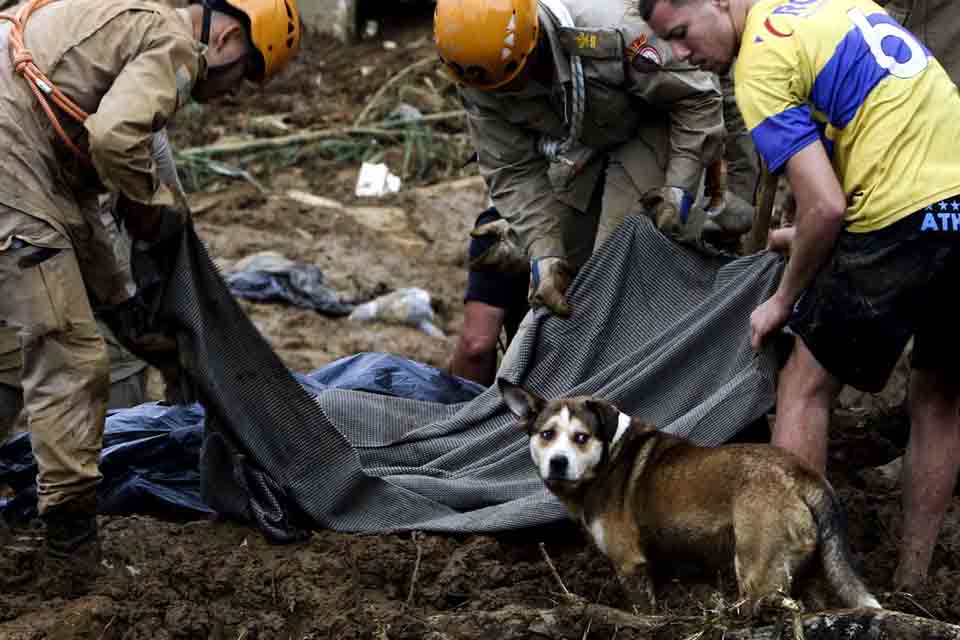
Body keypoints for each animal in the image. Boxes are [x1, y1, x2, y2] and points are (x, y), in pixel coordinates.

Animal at [498, 380, 880, 616]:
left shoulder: (630, 564)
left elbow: (643, 609)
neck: (609, 457)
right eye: (546, 435)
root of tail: (801, 473)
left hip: (757, 569)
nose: (557, 463)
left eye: (581, 437)